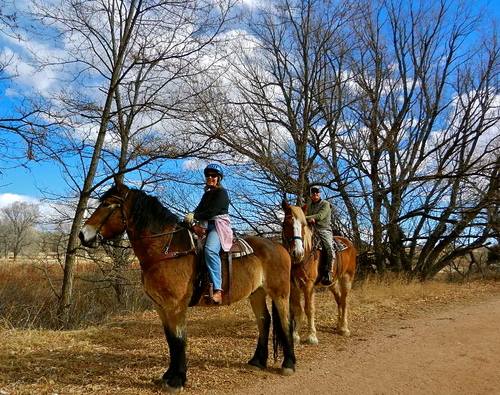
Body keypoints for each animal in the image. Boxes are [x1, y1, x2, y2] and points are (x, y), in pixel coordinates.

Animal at [78, 182, 294, 392]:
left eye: (106, 204)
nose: (82, 234)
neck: (167, 248)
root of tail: (280, 247)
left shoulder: (176, 306)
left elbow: (179, 339)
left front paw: (177, 380)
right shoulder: (160, 306)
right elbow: (170, 340)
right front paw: (169, 375)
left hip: (280, 293)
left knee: (285, 322)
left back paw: (288, 364)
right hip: (256, 293)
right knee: (264, 321)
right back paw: (257, 361)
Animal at [282, 200, 356, 344]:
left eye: (303, 225)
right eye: (286, 224)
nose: (297, 253)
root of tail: (348, 243)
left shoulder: (309, 285)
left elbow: (309, 309)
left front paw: (312, 336)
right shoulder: (294, 285)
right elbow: (297, 309)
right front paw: (295, 336)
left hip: (347, 278)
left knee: (344, 301)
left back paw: (344, 329)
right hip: (332, 283)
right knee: (339, 300)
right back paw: (339, 325)